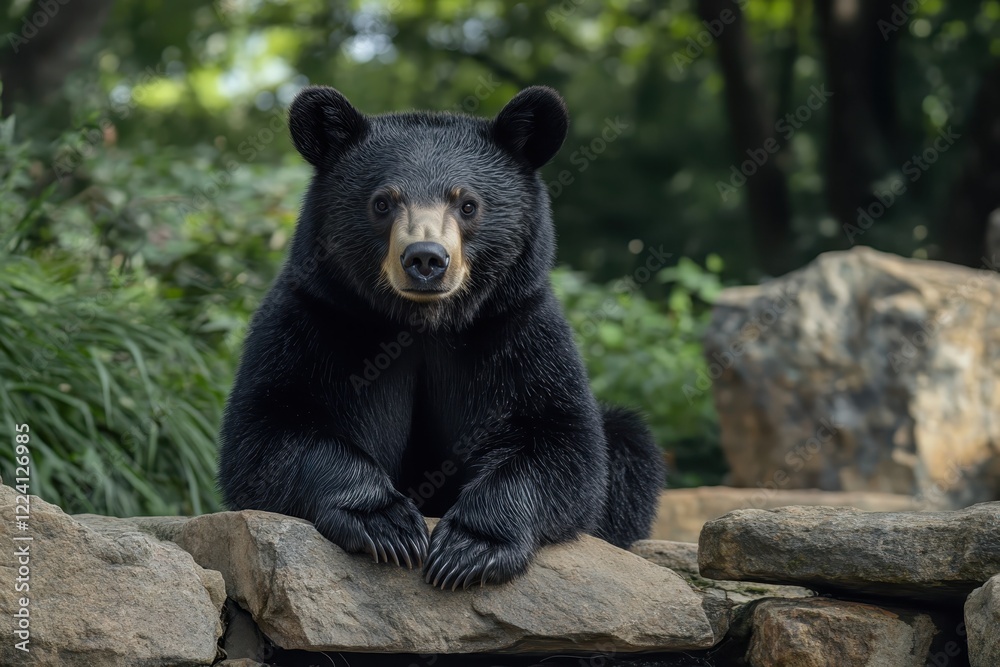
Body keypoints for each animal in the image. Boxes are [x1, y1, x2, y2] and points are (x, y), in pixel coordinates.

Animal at [218, 85, 665, 590]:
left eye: (467, 203)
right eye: (383, 202)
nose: (426, 259)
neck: (423, 323)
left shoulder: (518, 327)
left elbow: (563, 442)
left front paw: (470, 546)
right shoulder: (316, 316)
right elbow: (268, 429)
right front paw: (386, 523)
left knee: (627, 444)